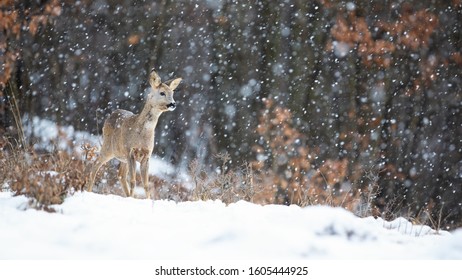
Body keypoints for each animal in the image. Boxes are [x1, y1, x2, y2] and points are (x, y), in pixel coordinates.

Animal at [86, 69, 182, 198]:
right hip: (108, 148)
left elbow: (146, 184)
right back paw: (88, 191)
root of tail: (111, 114)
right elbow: (133, 181)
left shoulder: (147, 155)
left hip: (122, 156)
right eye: (162, 93)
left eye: (172, 93)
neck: (142, 135)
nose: (173, 104)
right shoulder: (130, 151)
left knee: (120, 175)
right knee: (95, 165)